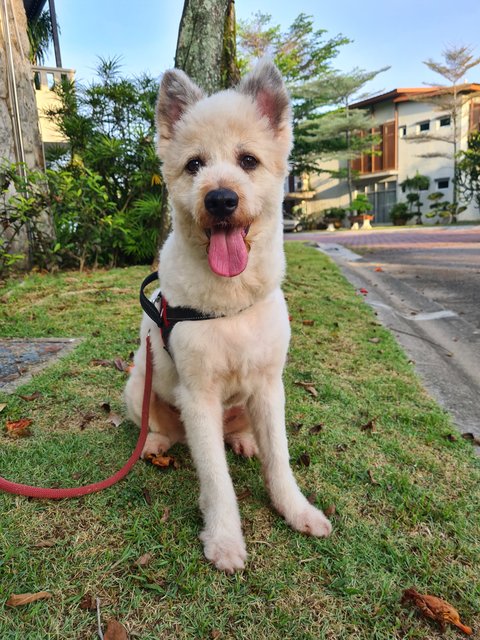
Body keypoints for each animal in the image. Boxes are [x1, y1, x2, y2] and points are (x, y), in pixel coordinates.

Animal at [125, 58, 332, 568]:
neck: (229, 302)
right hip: (138, 385)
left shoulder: (270, 386)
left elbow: (280, 460)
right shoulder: (198, 396)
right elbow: (217, 481)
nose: (220, 199)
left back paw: (242, 440)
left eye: (248, 161)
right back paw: (155, 443)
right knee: (151, 427)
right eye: (195, 164)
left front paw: (296, 509)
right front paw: (223, 538)